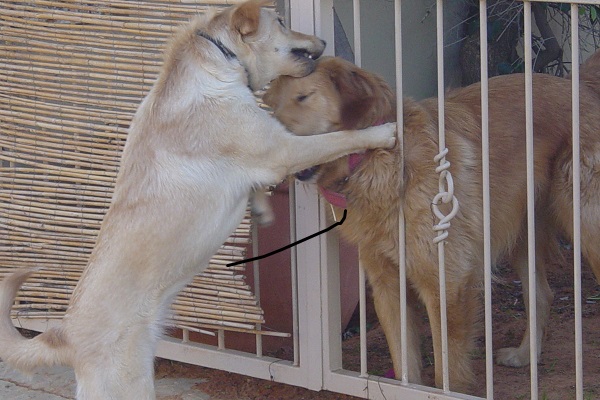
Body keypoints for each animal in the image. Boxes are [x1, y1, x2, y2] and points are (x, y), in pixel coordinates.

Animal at [0, 1, 398, 398]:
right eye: (282, 21)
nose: (326, 39)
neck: (219, 60)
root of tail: (62, 334)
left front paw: (261, 208)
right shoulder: (282, 149)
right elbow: (342, 138)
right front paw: (383, 133)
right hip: (129, 383)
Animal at [264, 54, 600, 392]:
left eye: (303, 97)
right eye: (271, 106)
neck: (382, 162)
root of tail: (581, 86)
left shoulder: (446, 283)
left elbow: (446, 372)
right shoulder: (387, 285)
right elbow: (405, 370)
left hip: (586, 227)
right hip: (521, 234)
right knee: (541, 295)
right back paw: (524, 355)